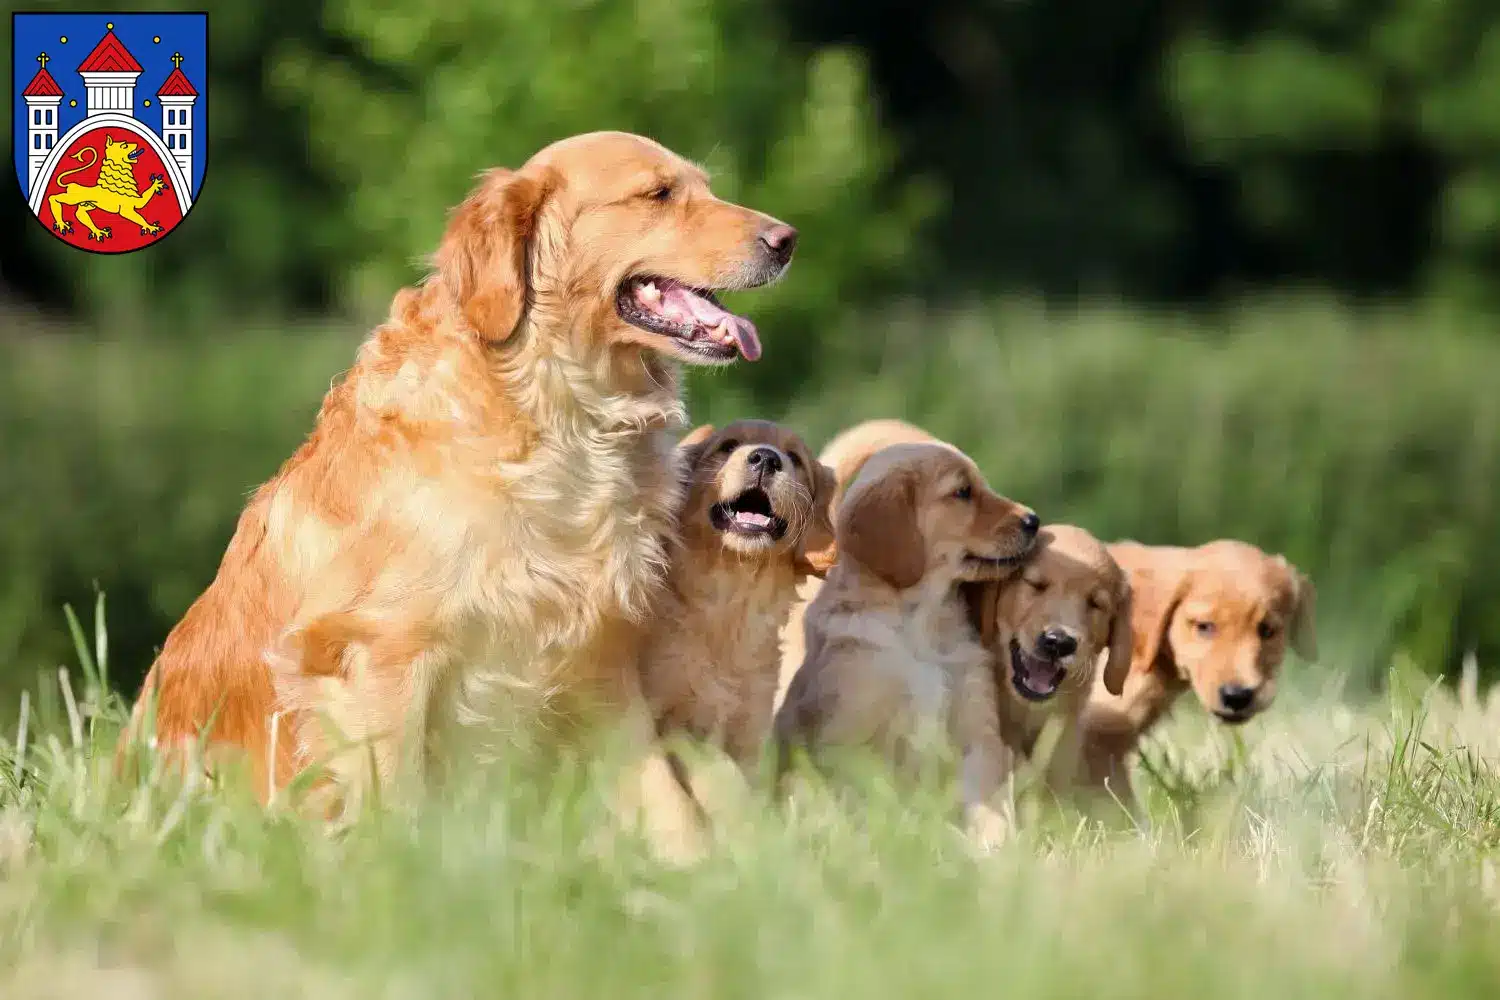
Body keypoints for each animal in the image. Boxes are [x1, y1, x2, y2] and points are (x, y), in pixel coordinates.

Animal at [129, 131, 798, 863]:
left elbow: (664, 794)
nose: (787, 239)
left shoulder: (600, 661)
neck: (561, 416)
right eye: (658, 193)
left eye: (705, 187)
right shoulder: (382, 656)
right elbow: (394, 802)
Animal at [774, 440, 1044, 839]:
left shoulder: (977, 731)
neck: (919, 623)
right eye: (963, 492)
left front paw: (995, 846)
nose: (1034, 521)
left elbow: (986, 805)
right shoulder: (851, 734)